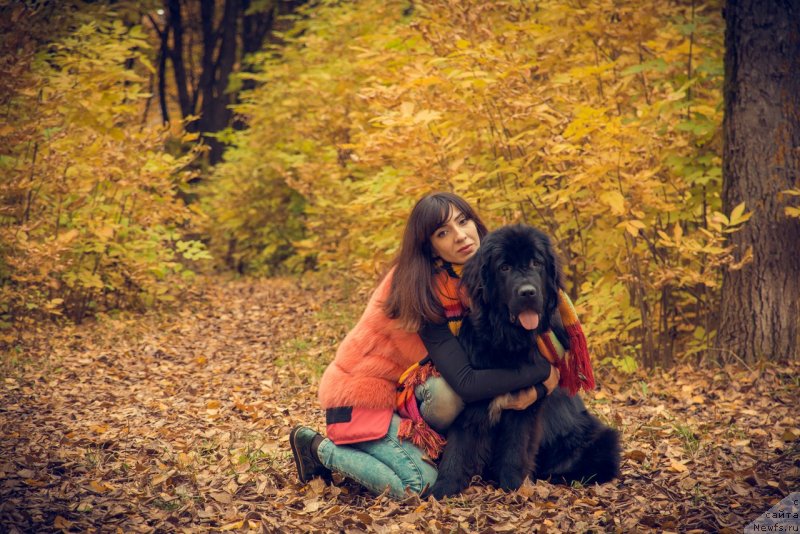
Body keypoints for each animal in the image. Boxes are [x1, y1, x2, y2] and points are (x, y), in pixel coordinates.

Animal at [428, 224, 620, 500]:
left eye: (537, 263)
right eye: (504, 267)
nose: (528, 292)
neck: (507, 341)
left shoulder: (526, 409)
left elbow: (515, 449)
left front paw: (513, 487)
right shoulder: (473, 398)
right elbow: (458, 448)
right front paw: (442, 489)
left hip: (601, 438)